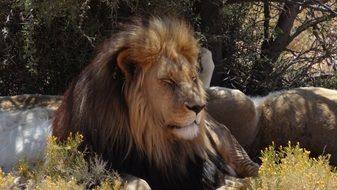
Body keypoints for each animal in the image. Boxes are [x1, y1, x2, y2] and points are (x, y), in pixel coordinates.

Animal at [50, 17, 258, 189]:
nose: (199, 107)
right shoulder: (93, 168)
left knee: (254, 170)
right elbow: (139, 181)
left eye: (192, 78)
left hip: (228, 144)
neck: (152, 141)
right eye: (168, 81)